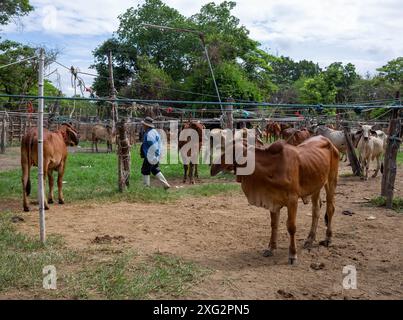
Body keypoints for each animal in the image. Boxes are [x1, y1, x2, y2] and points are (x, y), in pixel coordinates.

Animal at [211, 136, 340, 264]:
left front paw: (292, 254)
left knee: (330, 208)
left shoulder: (292, 200)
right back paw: (310, 239)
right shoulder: (272, 200)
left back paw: (328, 238)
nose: (213, 168)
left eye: (230, 151)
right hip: (316, 186)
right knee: (316, 210)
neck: (271, 167)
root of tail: (328, 141)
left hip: (331, 181)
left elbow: (291, 227)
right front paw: (271, 248)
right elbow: (274, 225)